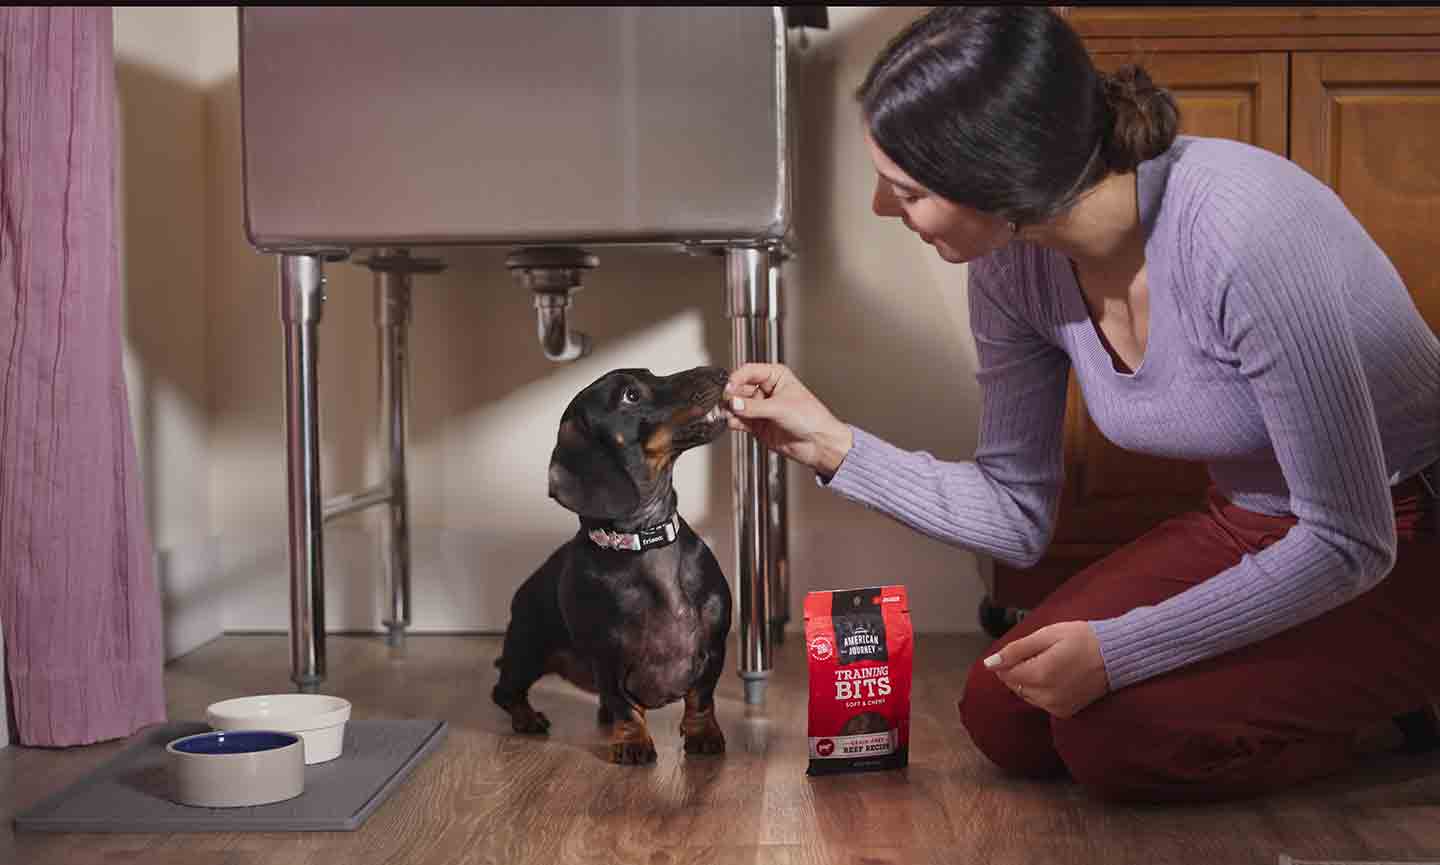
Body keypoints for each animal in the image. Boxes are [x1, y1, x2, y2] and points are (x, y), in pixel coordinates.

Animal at [495, 364, 737, 759]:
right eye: (630, 396)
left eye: (651, 373)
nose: (719, 372)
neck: (643, 541)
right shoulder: (607, 658)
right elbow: (625, 705)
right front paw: (633, 742)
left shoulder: (714, 647)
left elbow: (701, 698)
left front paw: (703, 734)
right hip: (525, 652)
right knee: (504, 692)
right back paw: (527, 717)